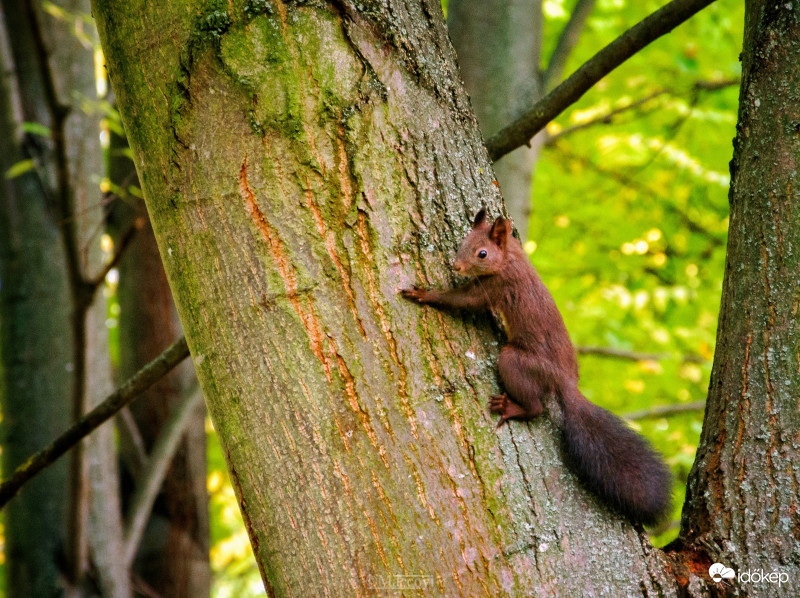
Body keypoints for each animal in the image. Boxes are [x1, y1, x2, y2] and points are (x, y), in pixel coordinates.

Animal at [400, 209, 668, 528]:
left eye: (482, 253)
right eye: (463, 243)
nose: (457, 265)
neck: (509, 258)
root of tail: (566, 383)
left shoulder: (496, 287)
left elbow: (463, 301)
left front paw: (425, 295)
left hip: (517, 362)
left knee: (536, 407)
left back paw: (512, 408)